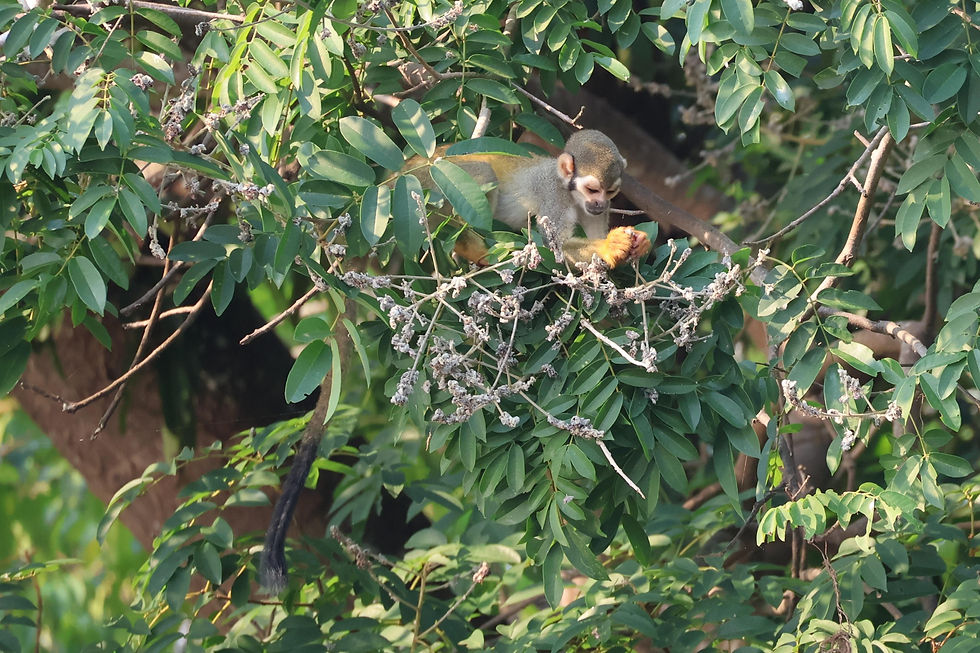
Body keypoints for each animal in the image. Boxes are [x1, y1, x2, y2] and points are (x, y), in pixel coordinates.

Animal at [410, 129, 651, 268]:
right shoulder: (553, 195)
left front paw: (640, 242)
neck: (572, 196)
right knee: (485, 173)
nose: (600, 203)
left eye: (610, 192)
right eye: (592, 189)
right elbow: (555, 247)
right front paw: (610, 245)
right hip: (435, 181)